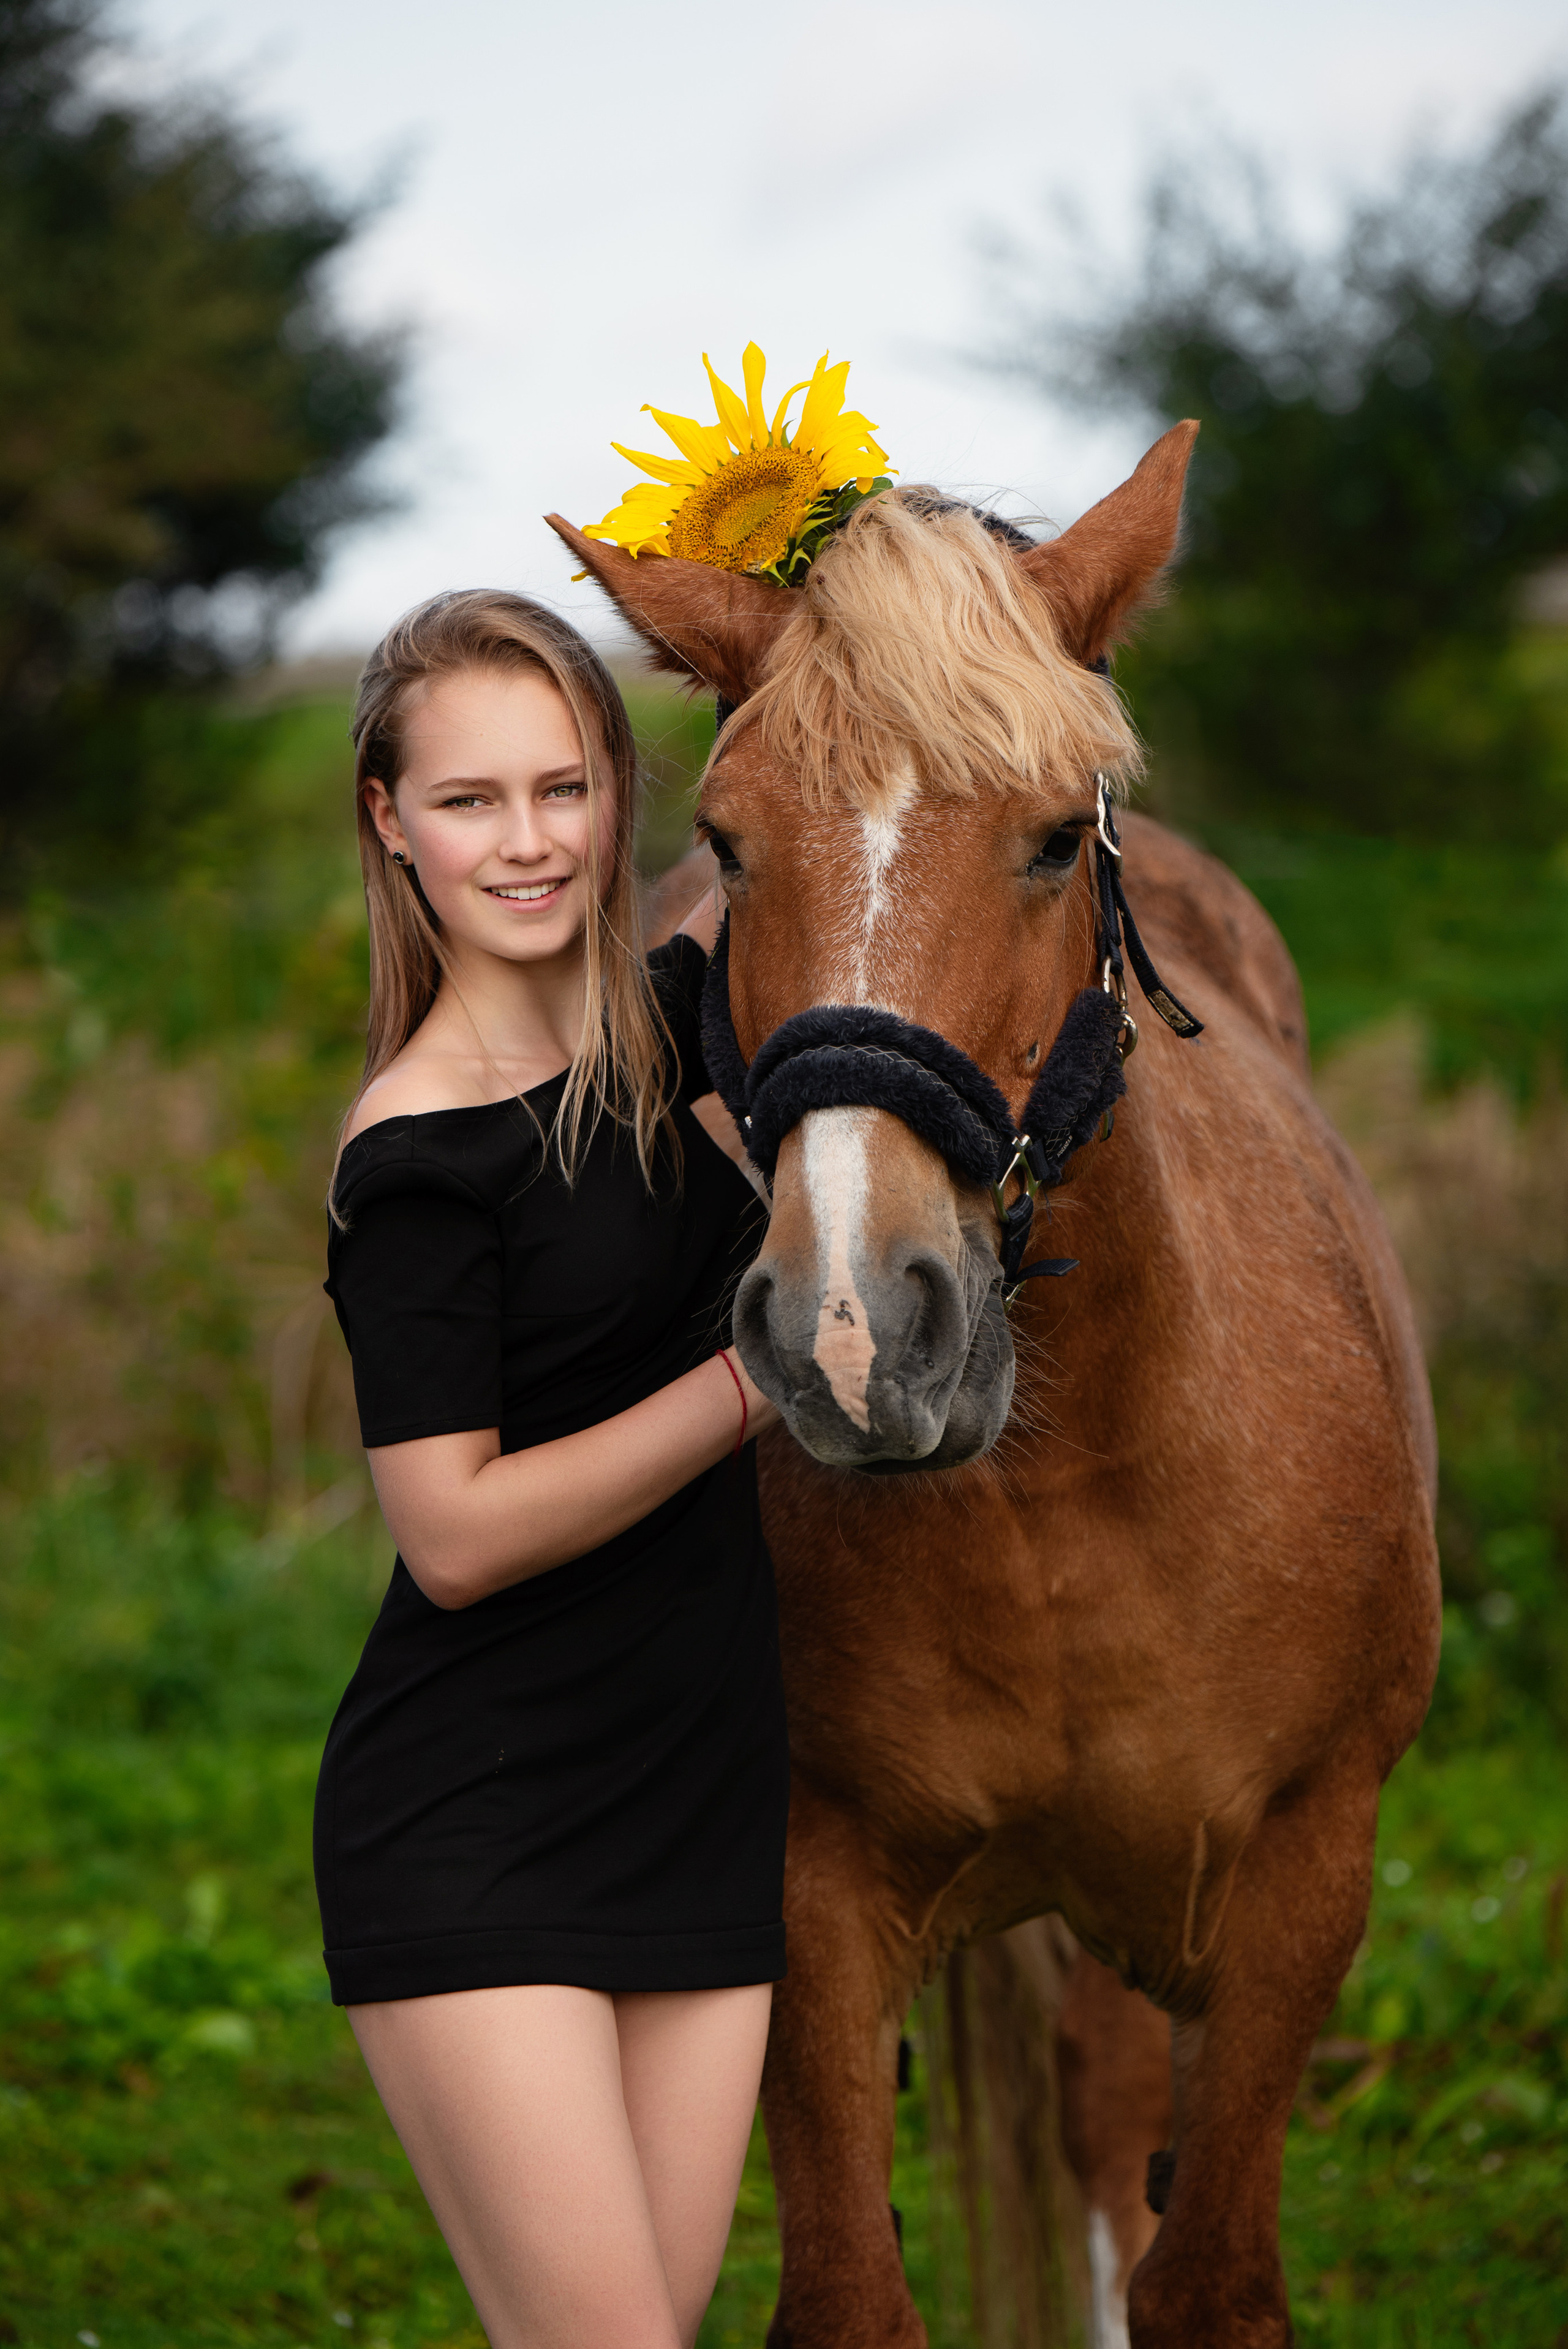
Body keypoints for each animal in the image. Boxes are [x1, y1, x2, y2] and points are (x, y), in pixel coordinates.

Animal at [550, 422, 1441, 2349]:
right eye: (727, 845)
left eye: (1047, 838)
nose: (853, 1332)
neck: (1074, 1483)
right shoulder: (802, 1898)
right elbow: (849, 2290)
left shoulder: (1299, 1879)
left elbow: (1204, 2274)